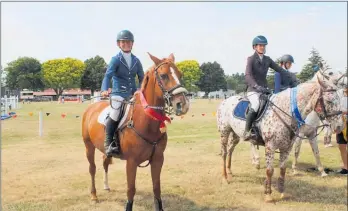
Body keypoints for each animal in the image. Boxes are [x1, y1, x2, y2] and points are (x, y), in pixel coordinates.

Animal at [81, 53, 189, 211]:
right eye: (163, 76)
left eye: (180, 74)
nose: (183, 104)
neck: (146, 121)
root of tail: (92, 107)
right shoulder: (131, 162)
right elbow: (131, 189)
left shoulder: (158, 159)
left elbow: (156, 188)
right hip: (88, 146)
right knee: (92, 168)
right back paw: (94, 196)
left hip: (105, 148)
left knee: (105, 162)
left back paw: (106, 186)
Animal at [216, 67, 344, 202]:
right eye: (329, 101)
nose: (340, 126)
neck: (286, 112)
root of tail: (225, 101)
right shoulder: (270, 146)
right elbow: (269, 170)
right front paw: (268, 195)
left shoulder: (287, 147)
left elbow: (283, 169)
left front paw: (282, 191)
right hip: (224, 132)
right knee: (224, 152)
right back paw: (225, 177)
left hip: (235, 135)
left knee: (231, 150)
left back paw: (230, 171)